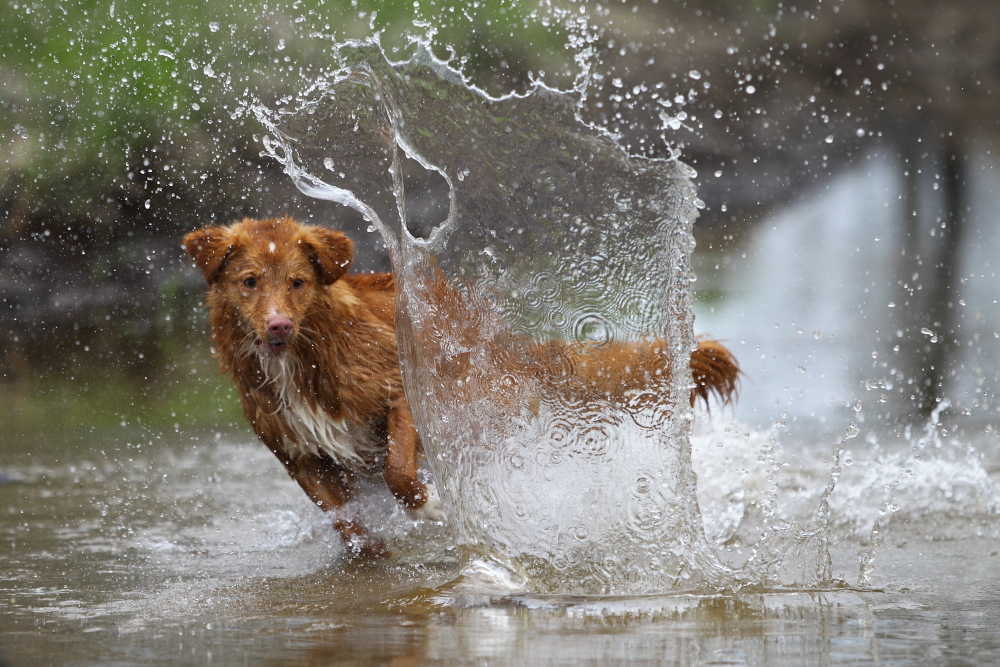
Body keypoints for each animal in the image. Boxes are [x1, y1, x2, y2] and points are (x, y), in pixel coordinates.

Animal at [184, 217, 740, 556]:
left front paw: (427, 504)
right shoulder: (295, 452)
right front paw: (372, 551)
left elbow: (399, 470)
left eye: (297, 282)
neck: (302, 362)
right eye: (250, 281)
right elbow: (344, 520)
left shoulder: (404, 393)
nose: (277, 325)